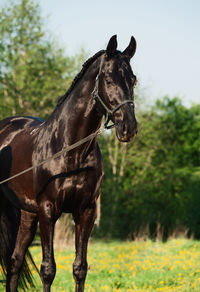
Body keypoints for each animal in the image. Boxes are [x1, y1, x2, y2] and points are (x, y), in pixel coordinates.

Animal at [0, 35, 138, 290]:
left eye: (133, 80)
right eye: (108, 79)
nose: (129, 128)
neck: (70, 150)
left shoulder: (86, 211)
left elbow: (80, 268)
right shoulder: (48, 210)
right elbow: (48, 270)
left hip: (27, 213)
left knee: (14, 262)